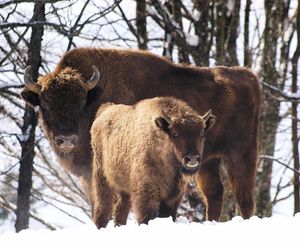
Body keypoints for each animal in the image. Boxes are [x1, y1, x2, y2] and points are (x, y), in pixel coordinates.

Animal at [91, 97, 216, 229]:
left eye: (202, 132)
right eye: (175, 133)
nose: (192, 158)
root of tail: (105, 110)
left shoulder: (173, 196)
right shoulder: (146, 194)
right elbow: (146, 217)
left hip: (124, 188)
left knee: (121, 209)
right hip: (102, 178)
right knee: (103, 207)